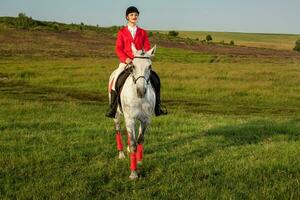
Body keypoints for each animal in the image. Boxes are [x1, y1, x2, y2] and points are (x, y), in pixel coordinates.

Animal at [107, 44, 156, 179]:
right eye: (133, 66)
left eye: (149, 66)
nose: (141, 91)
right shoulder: (130, 119)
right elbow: (134, 144)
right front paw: (134, 173)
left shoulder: (145, 120)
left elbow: (140, 139)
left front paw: (139, 161)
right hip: (117, 115)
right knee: (118, 130)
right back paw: (121, 154)